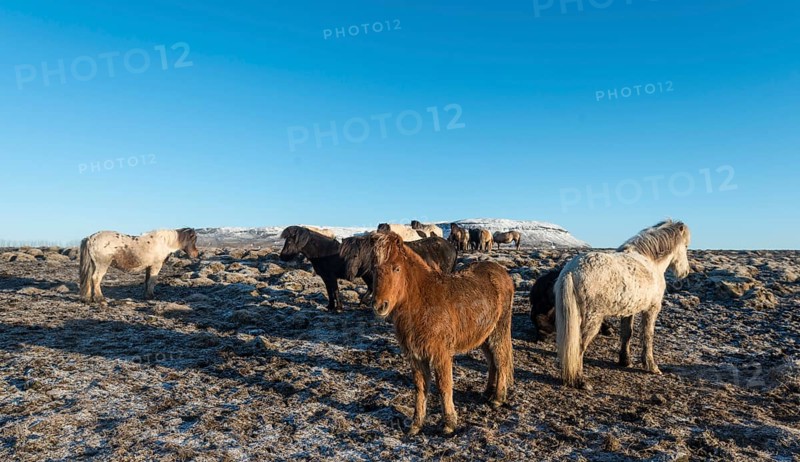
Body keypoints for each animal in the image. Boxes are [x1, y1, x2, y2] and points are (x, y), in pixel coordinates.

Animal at [370, 231, 514, 435]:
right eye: (374, 269)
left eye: (396, 268)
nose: (379, 306)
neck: (423, 301)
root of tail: (502, 272)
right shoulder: (416, 356)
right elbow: (420, 387)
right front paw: (416, 425)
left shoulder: (441, 354)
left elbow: (444, 386)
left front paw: (449, 424)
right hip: (483, 335)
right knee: (492, 361)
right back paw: (487, 392)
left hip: (498, 330)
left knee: (501, 359)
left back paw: (497, 398)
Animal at [555, 219, 691, 390]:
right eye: (685, 246)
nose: (685, 272)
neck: (651, 262)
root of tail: (572, 271)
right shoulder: (651, 309)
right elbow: (647, 336)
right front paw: (651, 366)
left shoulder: (629, 310)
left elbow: (627, 333)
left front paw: (625, 361)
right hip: (592, 319)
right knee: (578, 347)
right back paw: (580, 381)